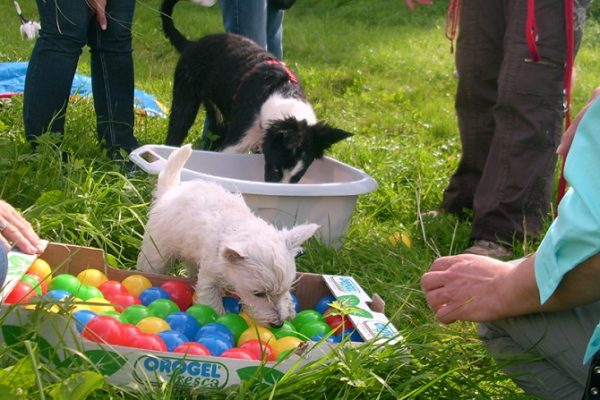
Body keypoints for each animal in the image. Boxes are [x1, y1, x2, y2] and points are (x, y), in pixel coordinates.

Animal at [138, 145, 322, 326]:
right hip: (156, 253)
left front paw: (289, 308)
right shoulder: (209, 279)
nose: (278, 325)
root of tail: (169, 193)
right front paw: (221, 319)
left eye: (286, 289)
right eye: (258, 294)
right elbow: (212, 303)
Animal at [162, 0, 354, 183]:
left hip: (216, 114)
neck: (279, 94)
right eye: (275, 170)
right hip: (184, 101)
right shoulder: (235, 144)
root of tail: (191, 44)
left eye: (297, 178)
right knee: (175, 133)